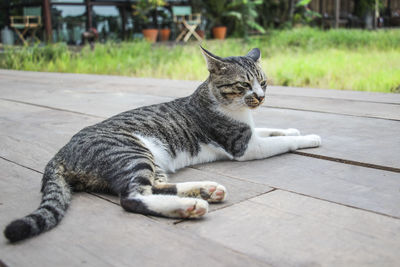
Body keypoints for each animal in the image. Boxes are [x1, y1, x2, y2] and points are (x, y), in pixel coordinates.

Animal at [3, 47, 322, 244]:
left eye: (264, 83)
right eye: (243, 85)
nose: (260, 97)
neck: (234, 108)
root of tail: (60, 152)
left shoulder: (252, 132)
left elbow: (272, 129)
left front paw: (291, 127)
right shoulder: (244, 145)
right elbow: (281, 141)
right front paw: (309, 137)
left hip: (151, 161)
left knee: (156, 186)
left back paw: (206, 190)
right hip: (132, 153)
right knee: (133, 197)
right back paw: (191, 205)